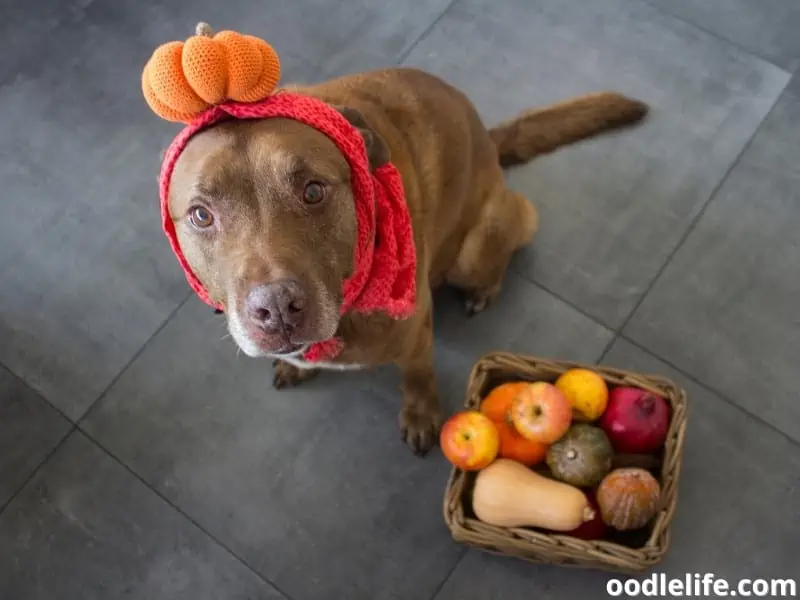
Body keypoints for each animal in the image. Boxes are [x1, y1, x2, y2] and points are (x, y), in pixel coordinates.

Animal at [167, 68, 644, 454]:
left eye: (313, 191)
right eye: (201, 215)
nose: (277, 309)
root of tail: (489, 139)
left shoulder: (416, 333)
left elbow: (418, 375)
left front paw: (421, 415)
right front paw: (293, 364)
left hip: (478, 245)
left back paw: (485, 289)